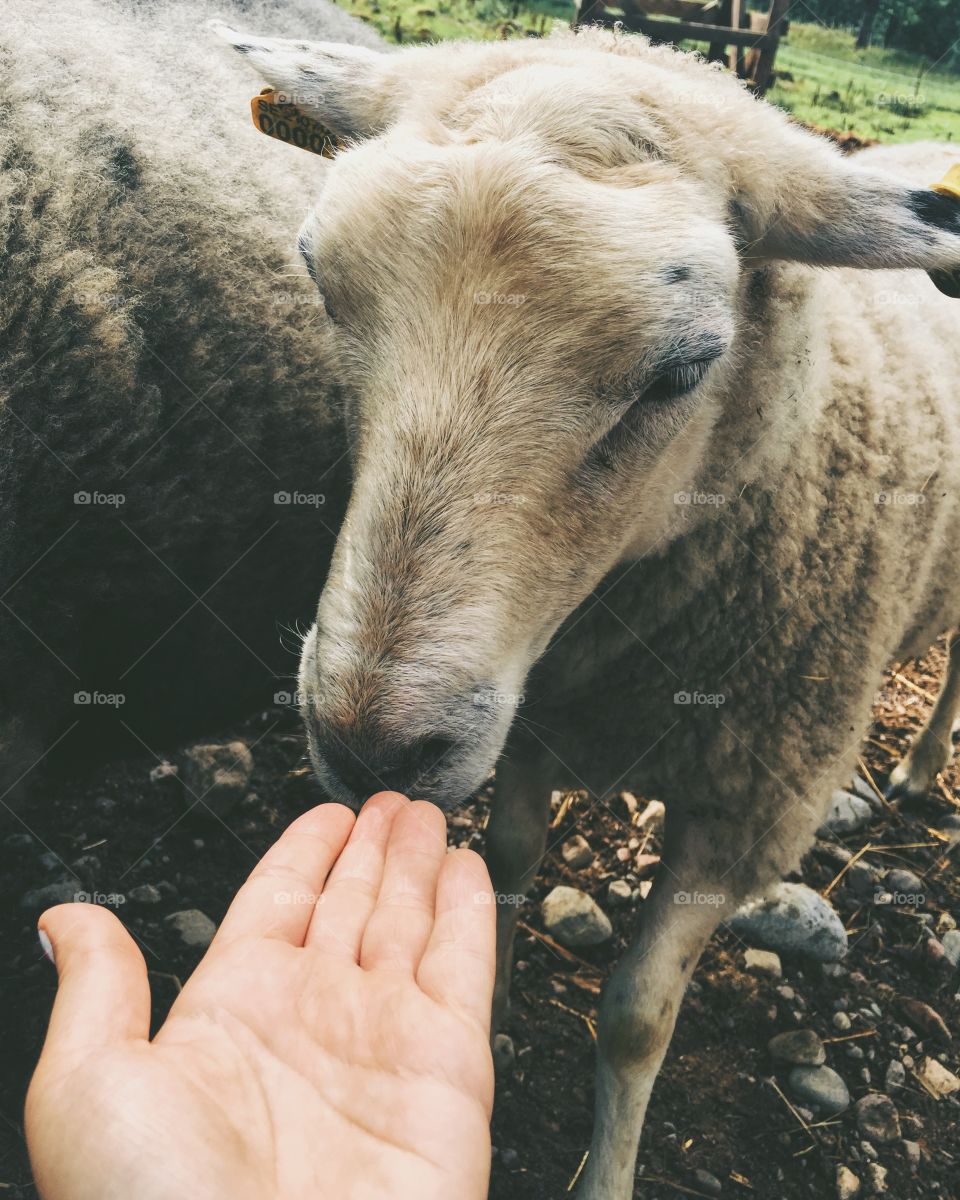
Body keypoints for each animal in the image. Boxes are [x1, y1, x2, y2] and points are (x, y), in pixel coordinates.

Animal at [217, 23, 960, 1195]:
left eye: (686, 369)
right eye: (321, 285)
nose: (370, 749)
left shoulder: (747, 810)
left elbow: (638, 1018)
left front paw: (605, 1170)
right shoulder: (531, 720)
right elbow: (509, 872)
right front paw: (484, 1022)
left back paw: (925, 767)